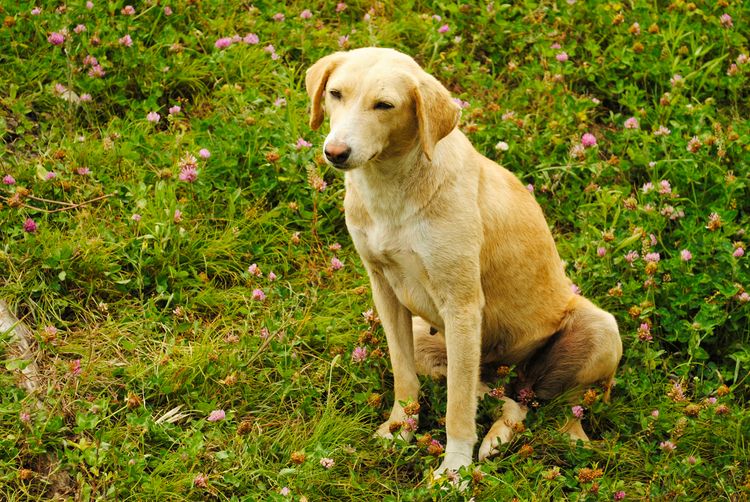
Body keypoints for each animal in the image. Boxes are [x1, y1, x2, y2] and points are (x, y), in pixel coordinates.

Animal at [306, 49, 624, 476]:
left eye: (384, 105)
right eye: (336, 94)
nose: (335, 152)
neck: (393, 186)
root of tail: (513, 371)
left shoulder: (461, 305)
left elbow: (457, 409)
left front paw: (454, 471)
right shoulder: (385, 290)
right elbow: (404, 377)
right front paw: (401, 429)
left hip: (600, 331)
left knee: (565, 408)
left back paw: (560, 440)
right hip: (439, 346)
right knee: (509, 400)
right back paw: (500, 435)